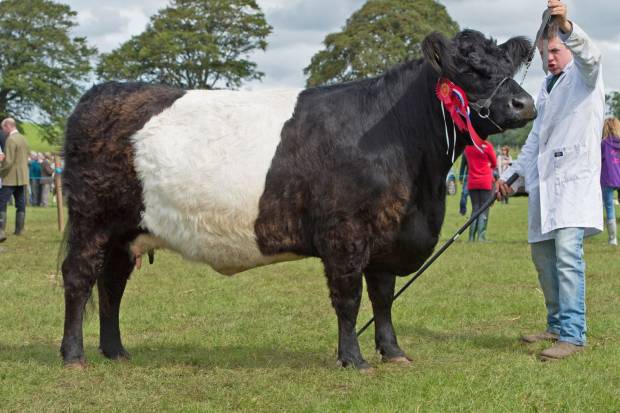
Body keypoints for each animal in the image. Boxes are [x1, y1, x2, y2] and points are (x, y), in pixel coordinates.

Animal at [61, 29, 536, 370]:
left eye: (506, 64)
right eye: (469, 68)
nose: (525, 103)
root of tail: (99, 93)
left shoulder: (387, 234)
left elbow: (383, 298)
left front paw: (393, 352)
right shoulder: (345, 234)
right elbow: (349, 299)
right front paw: (354, 359)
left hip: (126, 230)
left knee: (112, 283)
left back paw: (115, 350)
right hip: (91, 220)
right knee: (79, 278)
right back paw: (74, 355)